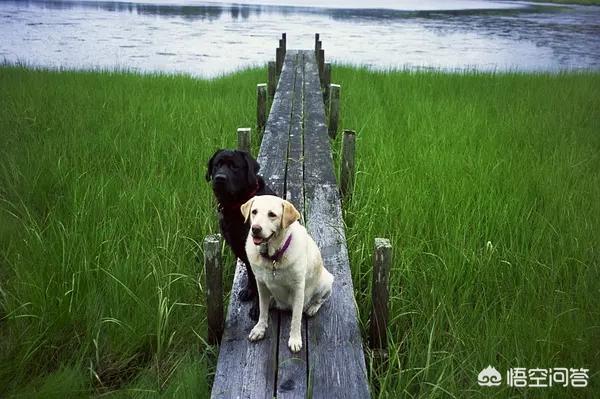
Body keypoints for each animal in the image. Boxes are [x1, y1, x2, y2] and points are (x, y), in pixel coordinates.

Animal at [204, 150, 274, 322]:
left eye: (234, 167)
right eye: (217, 165)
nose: (220, 178)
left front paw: (258, 309)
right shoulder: (239, 248)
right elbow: (251, 276)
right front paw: (249, 291)